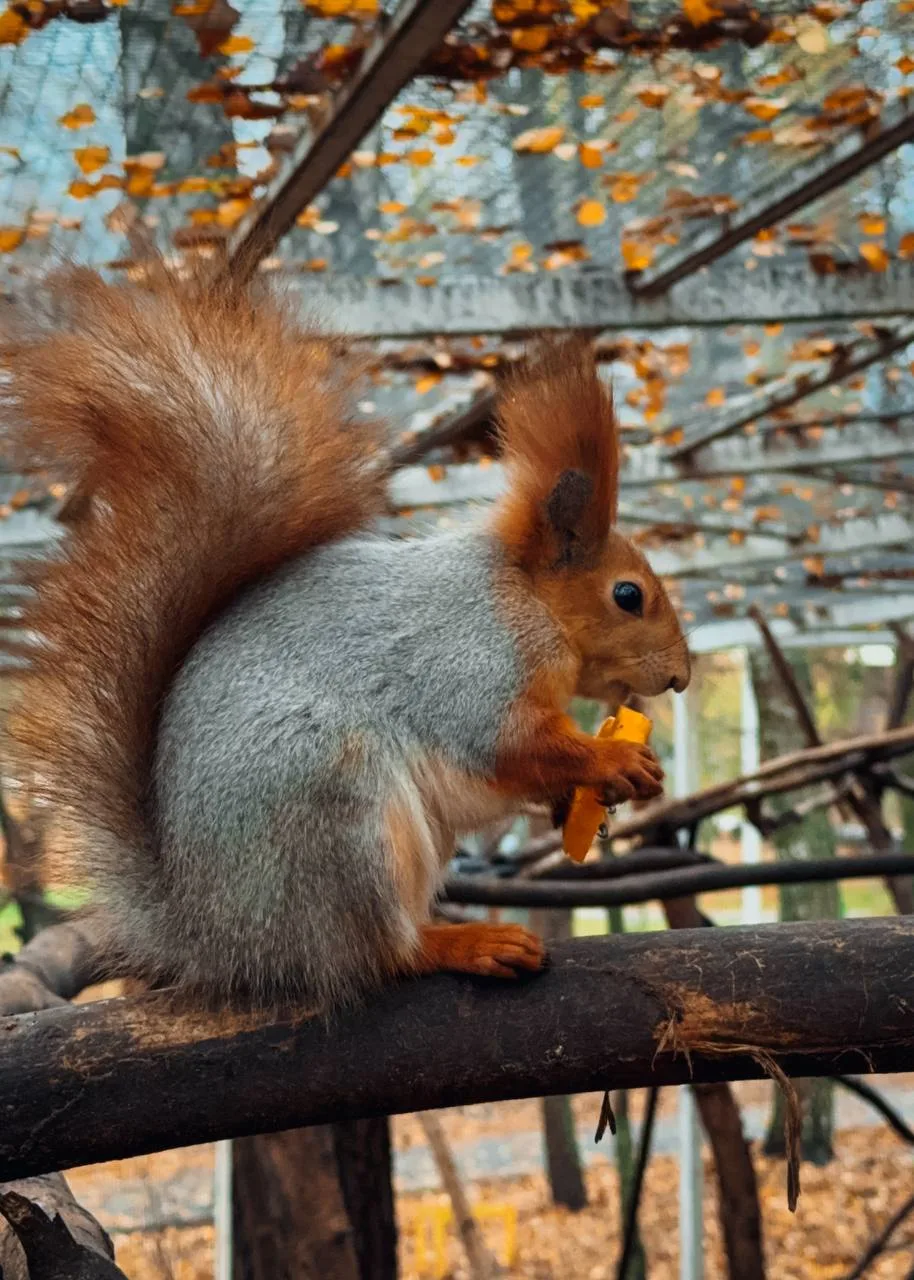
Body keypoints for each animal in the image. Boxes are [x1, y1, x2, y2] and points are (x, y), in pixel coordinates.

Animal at [0, 263, 690, 1008]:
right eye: (628, 596)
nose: (681, 677)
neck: (525, 601)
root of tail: (219, 939)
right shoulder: (470, 665)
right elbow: (514, 746)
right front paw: (612, 760)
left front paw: (587, 796)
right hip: (337, 807)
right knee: (374, 955)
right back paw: (462, 943)